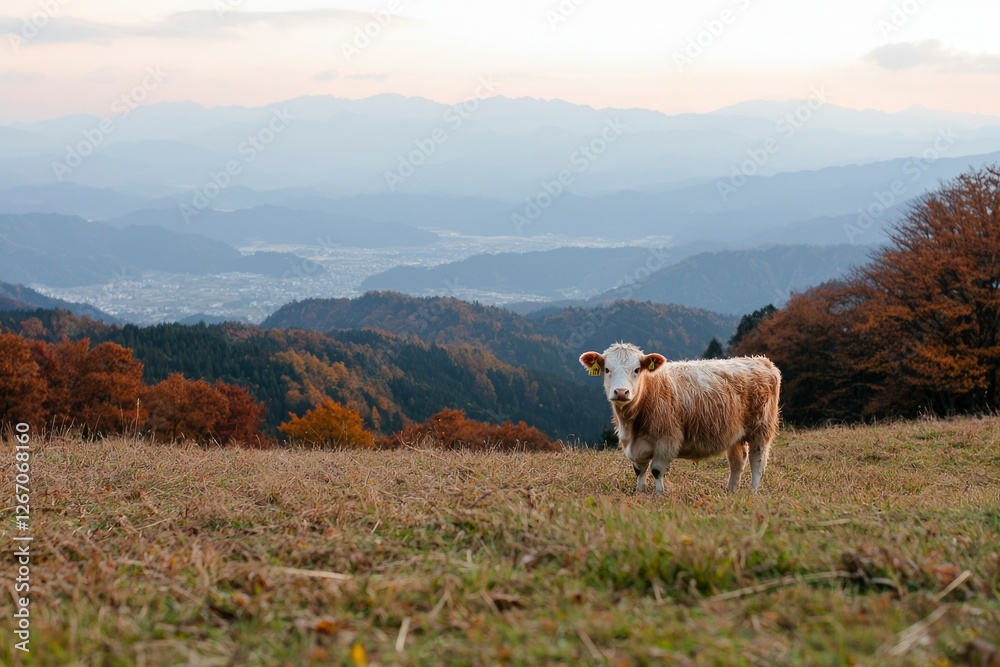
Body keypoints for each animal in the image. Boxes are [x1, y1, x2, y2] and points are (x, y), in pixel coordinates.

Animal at [580, 342, 780, 495]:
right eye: (607, 369)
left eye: (636, 369)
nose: (621, 392)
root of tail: (760, 360)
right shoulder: (635, 445)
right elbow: (639, 470)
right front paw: (640, 492)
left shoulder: (666, 440)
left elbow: (656, 470)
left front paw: (658, 494)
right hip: (735, 433)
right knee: (737, 461)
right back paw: (730, 491)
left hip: (761, 429)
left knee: (757, 461)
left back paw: (753, 492)